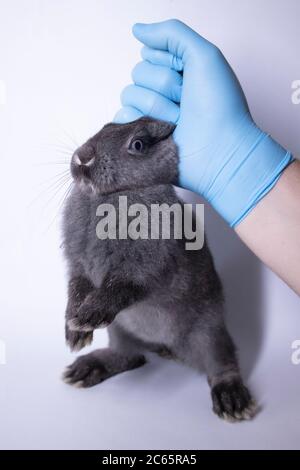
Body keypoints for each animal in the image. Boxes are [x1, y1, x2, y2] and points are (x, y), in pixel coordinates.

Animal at [62, 116, 256, 422]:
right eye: (105, 127)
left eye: (138, 144)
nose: (83, 157)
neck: (117, 195)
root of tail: (166, 346)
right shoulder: (78, 267)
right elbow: (76, 288)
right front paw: (75, 331)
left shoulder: (142, 270)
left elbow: (119, 288)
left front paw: (86, 317)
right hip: (120, 329)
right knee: (129, 356)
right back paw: (85, 370)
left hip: (209, 333)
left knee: (222, 362)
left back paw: (232, 401)